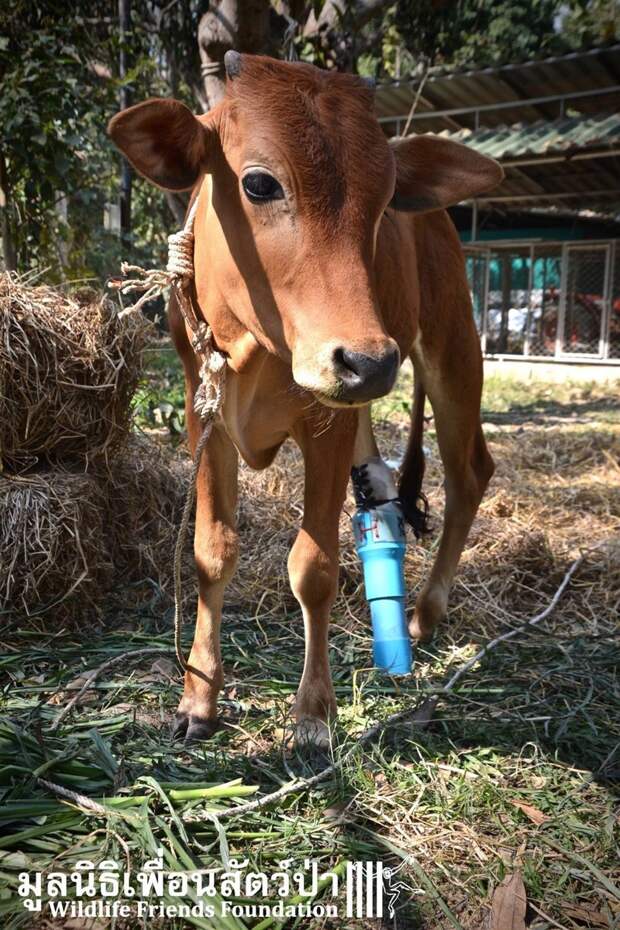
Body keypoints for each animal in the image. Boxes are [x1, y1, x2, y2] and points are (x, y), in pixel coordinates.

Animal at [109, 56, 502, 740]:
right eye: (260, 184)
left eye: (385, 201)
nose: (369, 362)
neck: (257, 347)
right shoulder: (205, 413)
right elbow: (212, 552)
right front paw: (198, 698)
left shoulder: (326, 424)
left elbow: (313, 567)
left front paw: (314, 712)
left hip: (452, 347)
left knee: (469, 471)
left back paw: (425, 612)